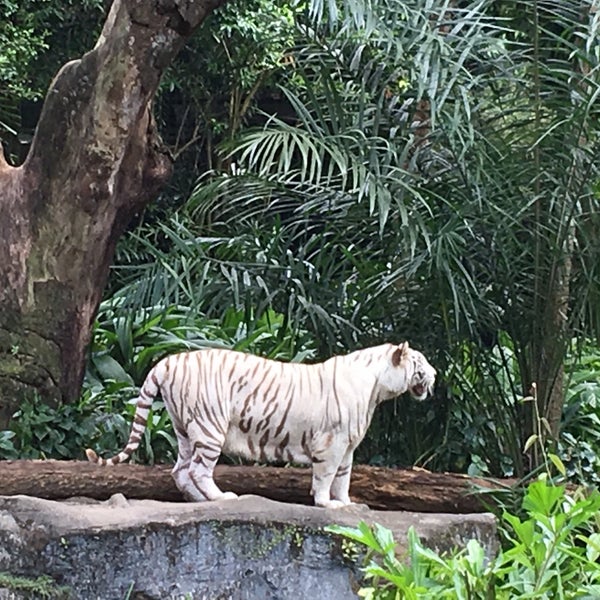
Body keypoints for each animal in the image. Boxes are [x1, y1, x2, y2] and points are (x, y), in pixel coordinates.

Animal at [86, 342, 436, 506]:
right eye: (420, 363)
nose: (435, 375)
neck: (376, 388)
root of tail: (167, 361)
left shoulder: (348, 445)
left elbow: (344, 477)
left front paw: (347, 504)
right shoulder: (332, 442)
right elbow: (326, 476)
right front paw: (327, 504)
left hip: (184, 430)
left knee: (180, 471)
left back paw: (200, 501)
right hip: (210, 426)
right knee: (198, 470)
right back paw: (221, 498)